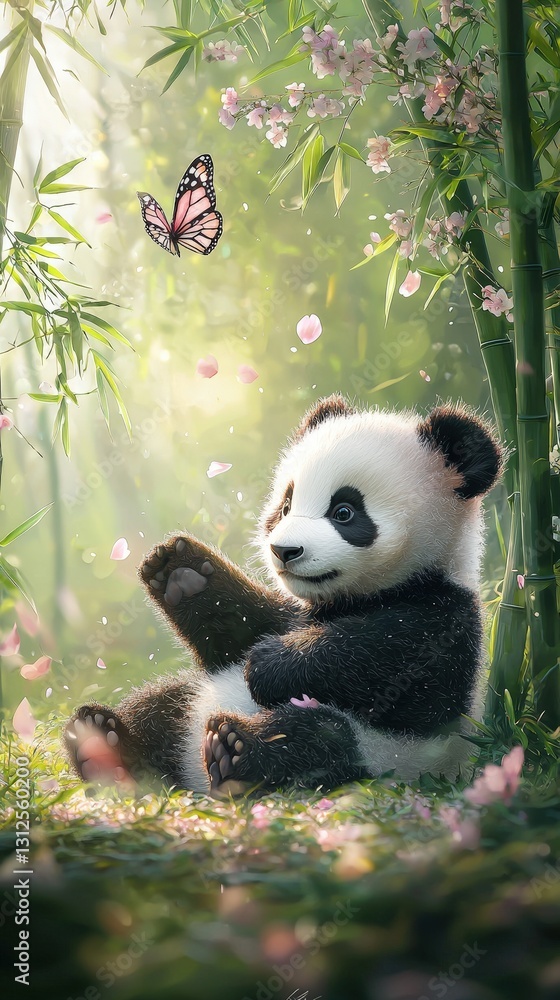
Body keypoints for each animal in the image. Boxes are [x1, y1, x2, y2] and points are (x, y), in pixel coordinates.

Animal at [64, 394, 502, 797]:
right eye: (287, 504)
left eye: (344, 512)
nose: (284, 551)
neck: (352, 598)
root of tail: (195, 777)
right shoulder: (294, 613)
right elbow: (240, 633)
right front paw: (180, 572)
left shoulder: (445, 617)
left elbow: (387, 661)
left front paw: (270, 664)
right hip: (189, 702)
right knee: (160, 706)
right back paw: (101, 744)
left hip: (386, 755)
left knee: (316, 740)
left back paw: (235, 751)